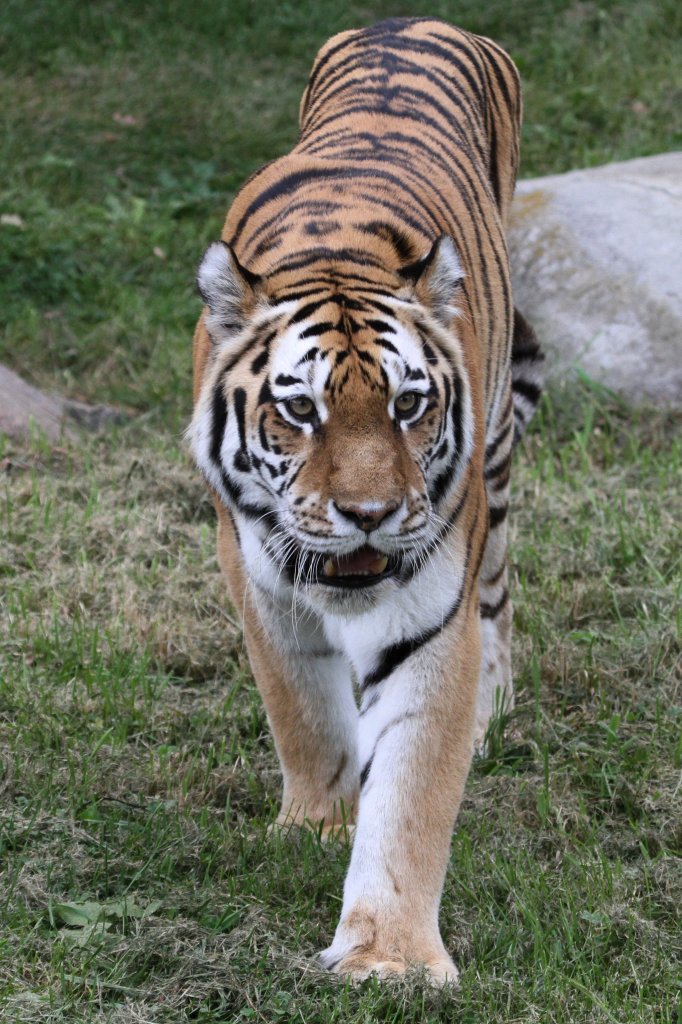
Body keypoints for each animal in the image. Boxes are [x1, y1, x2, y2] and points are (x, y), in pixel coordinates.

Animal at [186, 14, 540, 983]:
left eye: (408, 405)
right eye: (300, 409)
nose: (371, 517)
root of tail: (410, 20)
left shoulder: (431, 612)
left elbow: (413, 795)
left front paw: (391, 958)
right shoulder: (254, 572)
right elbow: (303, 712)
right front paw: (318, 825)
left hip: (498, 458)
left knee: (498, 595)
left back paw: (494, 710)